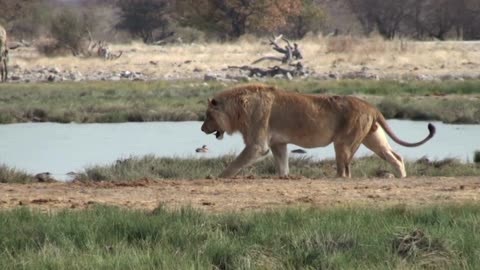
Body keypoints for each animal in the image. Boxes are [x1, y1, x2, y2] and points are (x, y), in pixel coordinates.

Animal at [199, 83, 436, 178]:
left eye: (208, 116)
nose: (201, 128)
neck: (239, 109)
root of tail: (371, 106)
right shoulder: (278, 143)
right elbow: (282, 166)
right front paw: (286, 178)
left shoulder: (258, 145)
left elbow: (235, 164)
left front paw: (217, 178)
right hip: (374, 139)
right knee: (396, 157)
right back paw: (401, 177)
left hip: (343, 143)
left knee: (345, 171)